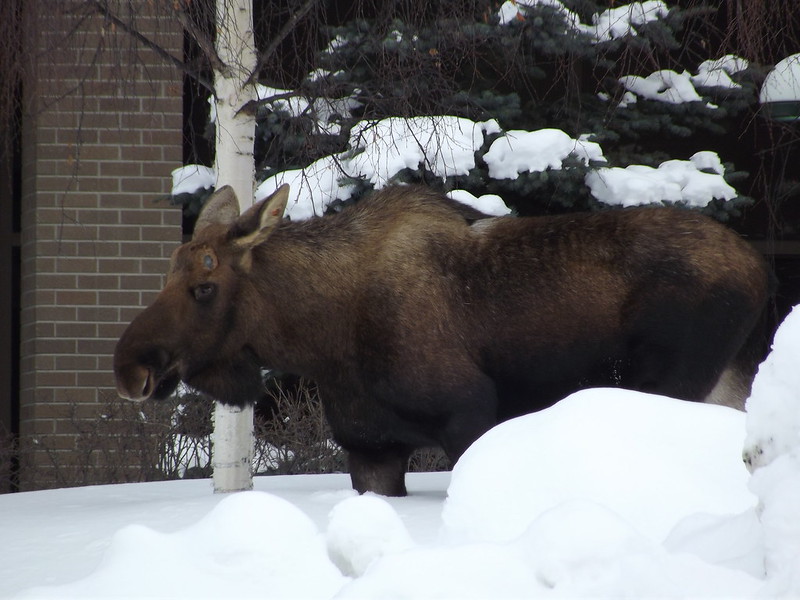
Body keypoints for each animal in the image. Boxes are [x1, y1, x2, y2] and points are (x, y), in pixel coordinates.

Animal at [112, 185, 768, 494]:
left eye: (203, 285)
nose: (130, 366)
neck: (323, 339)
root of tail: (761, 269)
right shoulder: (371, 447)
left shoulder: (469, 415)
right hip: (726, 381)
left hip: (671, 381)